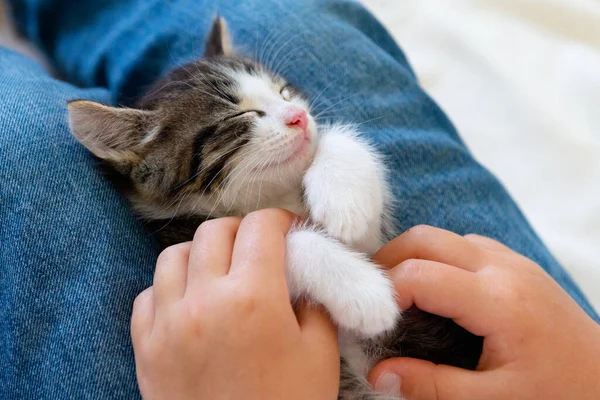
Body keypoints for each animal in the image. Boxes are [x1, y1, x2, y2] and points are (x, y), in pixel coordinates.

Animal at [67, 17, 482, 398]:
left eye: (284, 92)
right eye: (239, 116)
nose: (298, 118)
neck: (272, 198)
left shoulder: (374, 243)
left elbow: (351, 194)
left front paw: (344, 201)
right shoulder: (182, 241)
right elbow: (279, 243)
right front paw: (363, 292)